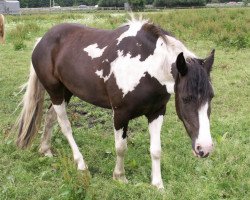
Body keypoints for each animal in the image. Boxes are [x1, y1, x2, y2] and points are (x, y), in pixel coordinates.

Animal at [16, 18, 215, 189]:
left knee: (50, 117)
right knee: (65, 125)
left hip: (66, 91)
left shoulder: (157, 112)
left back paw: (45, 150)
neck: (147, 67)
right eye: (186, 98)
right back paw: (80, 163)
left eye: (211, 97)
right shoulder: (120, 114)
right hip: (56, 91)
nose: (204, 148)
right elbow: (121, 147)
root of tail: (42, 40)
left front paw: (157, 184)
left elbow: (156, 150)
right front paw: (119, 177)